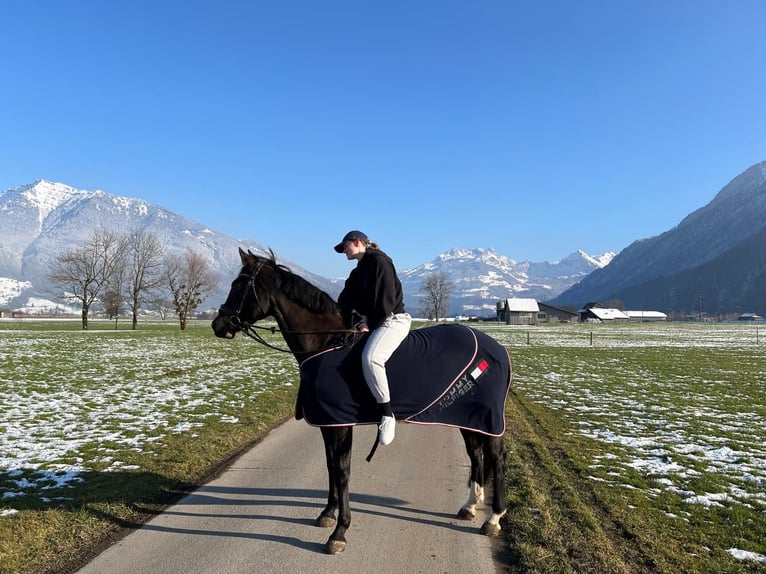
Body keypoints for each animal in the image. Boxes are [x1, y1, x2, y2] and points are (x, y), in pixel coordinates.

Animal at [212, 250, 510, 556]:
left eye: (238, 285)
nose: (218, 325)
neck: (328, 341)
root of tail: (498, 348)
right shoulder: (328, 423)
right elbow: (330, 466)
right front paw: (327, 513)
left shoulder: (340, 424)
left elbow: (342, 471)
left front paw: (339, 532)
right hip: (468, 419)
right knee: (475, 454)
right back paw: (470, 506)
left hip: (487, 419)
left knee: (496, 458)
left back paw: (493, 517)